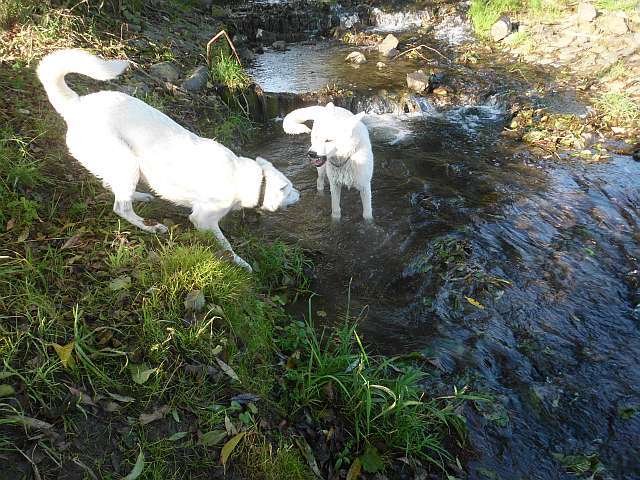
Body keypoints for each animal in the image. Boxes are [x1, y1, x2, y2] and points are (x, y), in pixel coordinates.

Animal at [38, 50, 300, 272]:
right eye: (289, 190)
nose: (300, 195)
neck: (246, 178)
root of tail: (76, 105)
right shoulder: (203, 219)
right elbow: (226, 245)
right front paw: (240, 263)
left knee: (111, 187)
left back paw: (141, 196)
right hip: (127, 162)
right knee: (120, 207)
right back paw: (150, 226)